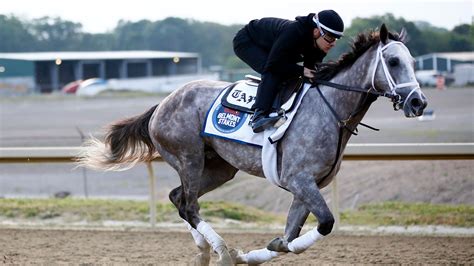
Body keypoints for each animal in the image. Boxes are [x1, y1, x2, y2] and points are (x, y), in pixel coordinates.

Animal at [77, 24, 426, 264]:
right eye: (393, 62)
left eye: (412, 62)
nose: (418, 102)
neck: (332, 110)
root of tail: (163, 102)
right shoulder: (299, 179)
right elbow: (324, 224)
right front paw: (246, 253)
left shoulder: (308, 186)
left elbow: (289, 237)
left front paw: (256, 253)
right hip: (188, 157)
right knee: (189, 205)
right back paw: (220, 250)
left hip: (220, 167)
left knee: (180, 199)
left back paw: (205, 250)